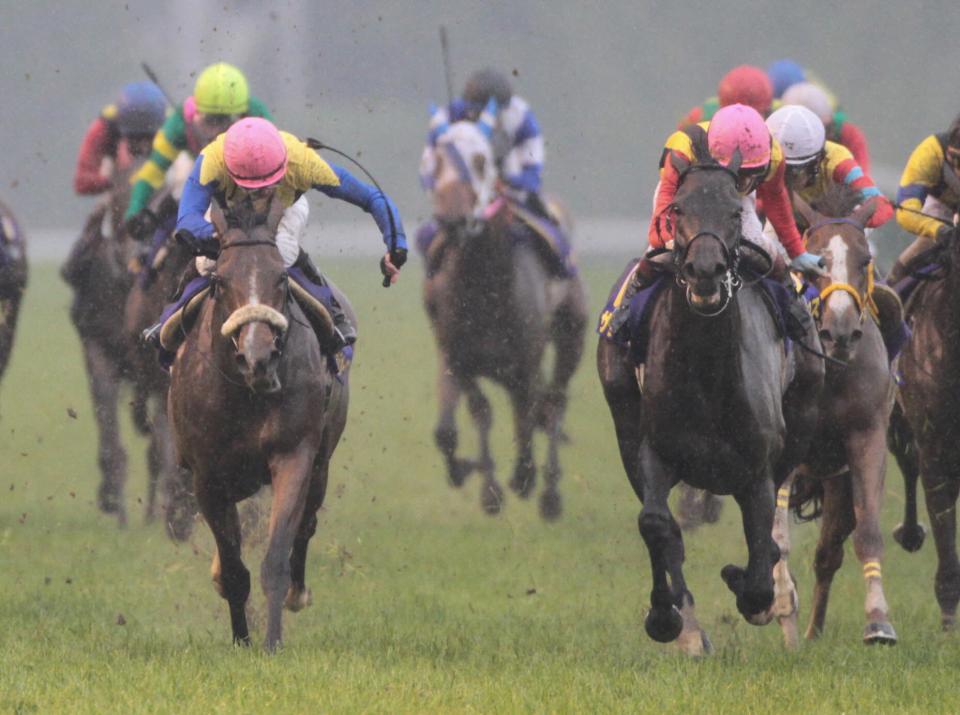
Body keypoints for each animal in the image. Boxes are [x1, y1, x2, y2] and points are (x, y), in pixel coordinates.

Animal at [169, 194, 352, 648]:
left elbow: (275, 557)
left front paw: (271, 643)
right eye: (219, 281)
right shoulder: (207, 475)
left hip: (321, 463)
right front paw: (242, 640)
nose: (259, 357)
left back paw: (297, 593)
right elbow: (235, 568)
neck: (245, 392)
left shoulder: (293, 455)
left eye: (282, 280)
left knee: (307, 523)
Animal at [426, 119, 588, 520]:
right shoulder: (458, 358)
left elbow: (529, 416)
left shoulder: (526, 361)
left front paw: (523, 478)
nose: (453, 219)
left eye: (482, 161)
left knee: (554, 402)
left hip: (571, 337)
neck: (484, 288)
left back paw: (549, 494)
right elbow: (467, 420)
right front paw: (484, 484)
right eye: (437, 161)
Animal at [596, 145, 820, 656]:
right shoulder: (654, 452)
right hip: (623, 422)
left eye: (735, 212)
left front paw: (751, 592)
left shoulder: (758, 468)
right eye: (678, 210)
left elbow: (760, 545)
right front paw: (666, 617)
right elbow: (658, 526)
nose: (704, 271)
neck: (706, 372)